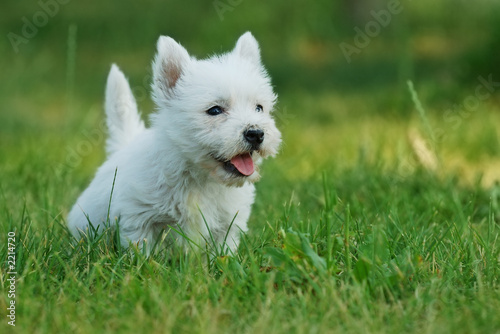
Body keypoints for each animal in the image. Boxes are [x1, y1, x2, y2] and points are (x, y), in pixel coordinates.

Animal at [67, 33, 282, 253]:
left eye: (259, 108)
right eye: (214, 110)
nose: (256, 133)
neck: (200, 178)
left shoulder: (228, 224)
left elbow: (223, 251)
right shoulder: (138, 218)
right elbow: (142, 250)